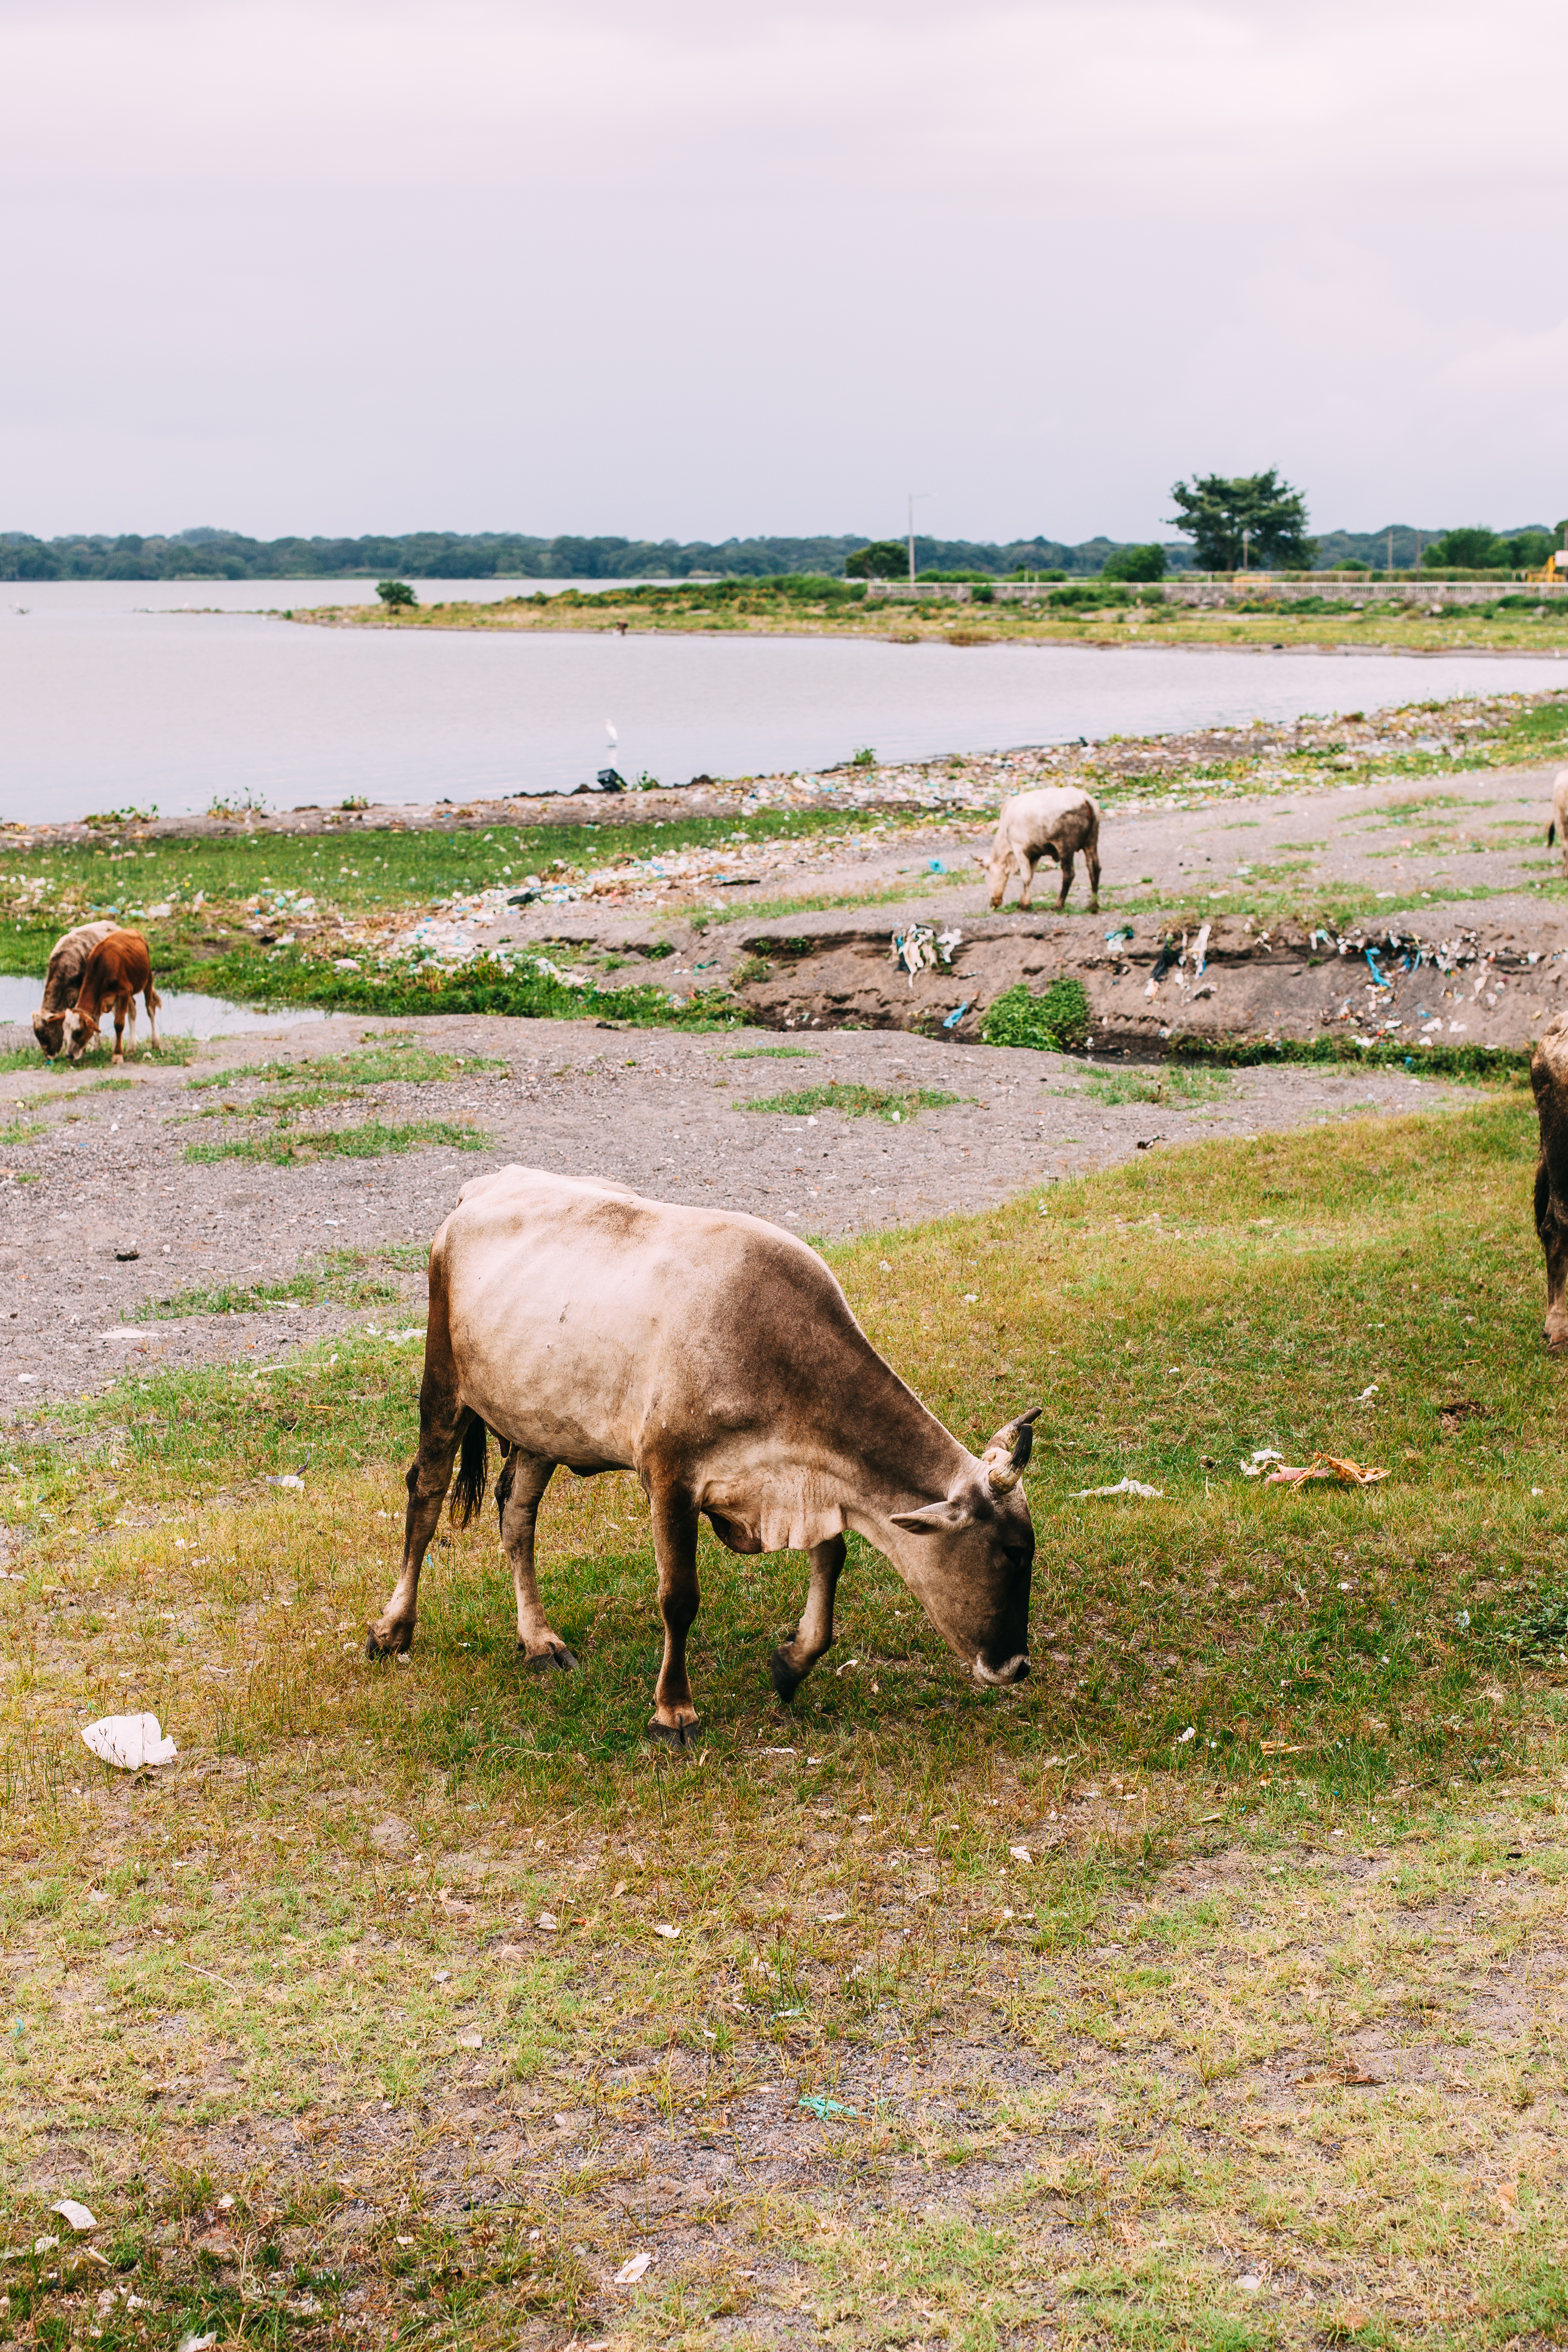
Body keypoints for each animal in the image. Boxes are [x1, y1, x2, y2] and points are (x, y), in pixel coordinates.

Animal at [61, 930, 161, 1065]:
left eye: (78, 1032)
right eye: (65, 1032)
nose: (69, 1055)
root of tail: (132, 930)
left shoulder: (123, 992)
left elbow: (119, 1024)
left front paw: (117, 1055)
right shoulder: (100, 1001)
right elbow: (96, 1022)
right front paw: (97, 1048)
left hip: (148, 978)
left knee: (150, 1008)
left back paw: (155, 1043)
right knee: (133, 1011)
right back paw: (131, 1047)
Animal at [366, 1168, 1039, 1743]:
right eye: (1010, 1553)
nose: (1016, 1666)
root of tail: (487, 1184)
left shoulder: (806, 1485)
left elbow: (832, 1559)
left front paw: (791, 1663)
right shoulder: (670, 1476)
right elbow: (679, 1597)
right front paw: (673, 1711)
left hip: (541, 1423)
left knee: (517, 1513)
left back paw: (539, 1641)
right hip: (444, 1384)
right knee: (425, 1496)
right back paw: (393, 1629)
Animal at [974, 786, 1102, 912]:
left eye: (984, 876)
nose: (993, 903)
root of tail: (1084, 798)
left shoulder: (1019, 849)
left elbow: (1026, 877)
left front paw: (1024, 904)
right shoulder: (1035, 854)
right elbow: (1031, 876)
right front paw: (1024, 901)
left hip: (1065, 847)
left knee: (1069, 874)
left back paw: (1059, 905)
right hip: (1091, 842)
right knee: (1094, 869)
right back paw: (1093, 904)